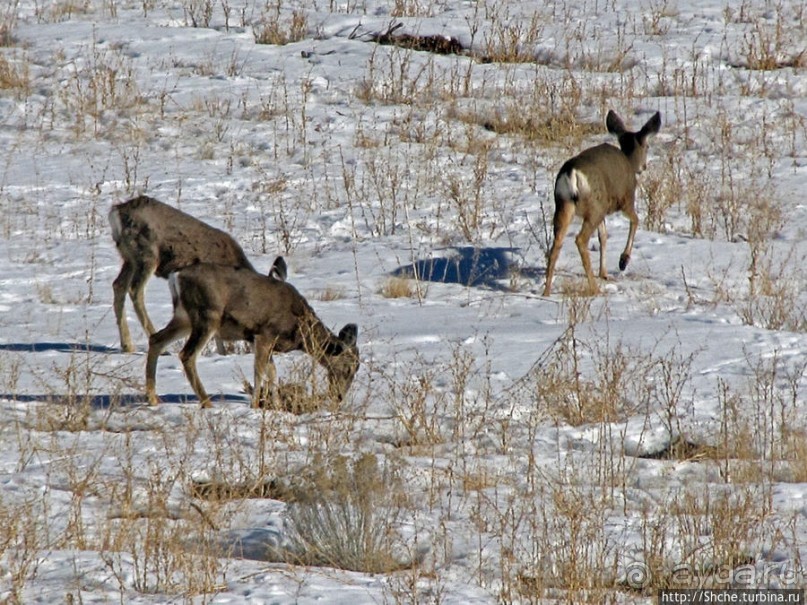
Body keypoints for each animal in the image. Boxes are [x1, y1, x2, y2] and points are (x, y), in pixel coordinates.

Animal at [105, 193, 254, 354]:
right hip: (147, 254)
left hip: (129, 258)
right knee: (135, 290)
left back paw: (127, 345)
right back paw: (161, 347)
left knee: (118, 285)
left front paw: (222, 353)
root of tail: (116, 211)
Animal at [145, 262, 360, 408]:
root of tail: (176, 276)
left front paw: (276, 406)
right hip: (207, 315)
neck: (300, 330)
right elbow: (260, 372)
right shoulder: (264, 334)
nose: (339, 397)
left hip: (184, 317)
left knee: (156, 339)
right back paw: (207, 403)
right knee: (187, 354)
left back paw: (153, 398)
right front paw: (255, 405)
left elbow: (272, 373)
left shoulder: (268, 342)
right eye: (349, 368)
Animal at [544, 111, 664, 298]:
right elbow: (635, 220)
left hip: (566, 204)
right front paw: (623, 260)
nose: (643, 167)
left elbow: (604, 237)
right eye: (648, 146)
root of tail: (571, 173)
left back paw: (546, 291)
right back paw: (594, 288)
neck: (629, 162)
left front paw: (604, 273)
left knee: (557, 242)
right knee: (580, 240)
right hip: (594, 206)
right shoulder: (625, 199)